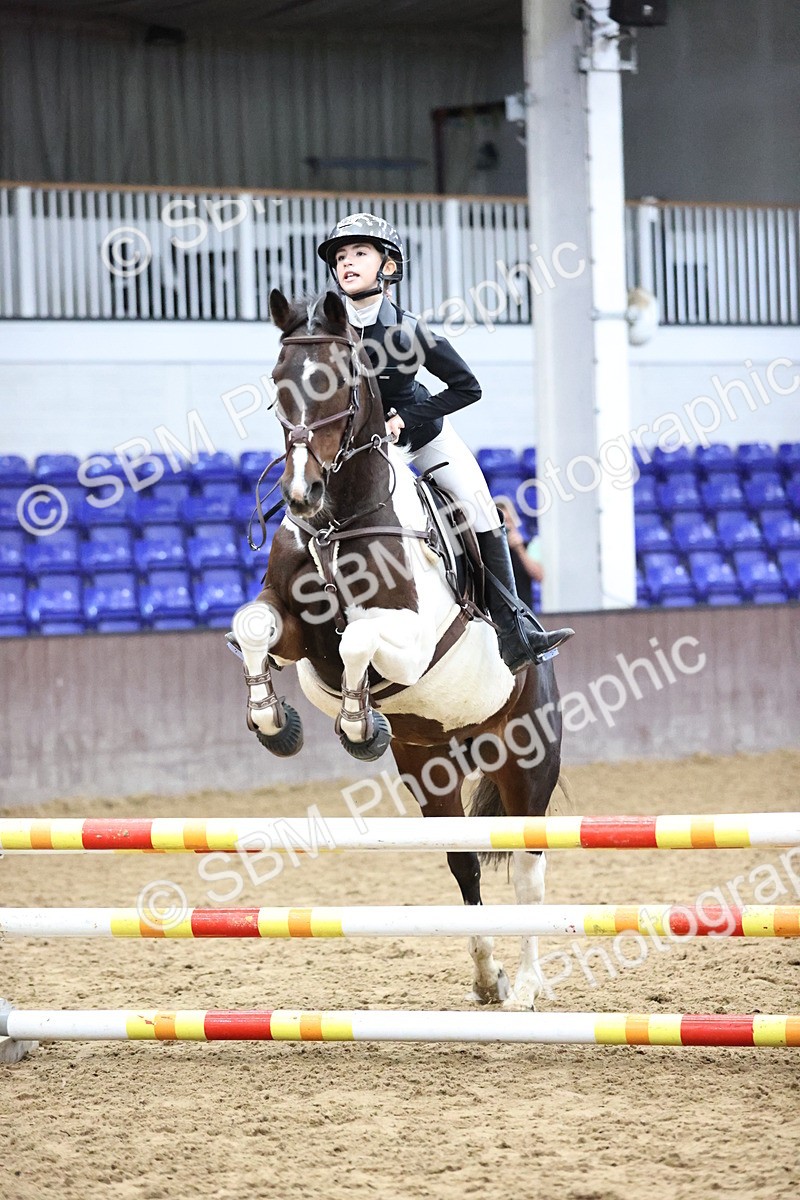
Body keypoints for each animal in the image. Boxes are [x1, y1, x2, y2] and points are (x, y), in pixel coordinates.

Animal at [231, 288, 565, 1008]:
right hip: (430, 764)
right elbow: (254, 628)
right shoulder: (302, 637)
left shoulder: (411, 643)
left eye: (336, 382)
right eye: (277, 385)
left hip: (527, 754)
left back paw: (526, 986)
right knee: (464, 861)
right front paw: (272, 721)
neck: (340, 518)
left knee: (529, 870)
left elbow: (360, 636)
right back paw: (488, 977)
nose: (301, 495)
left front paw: (359, 725)